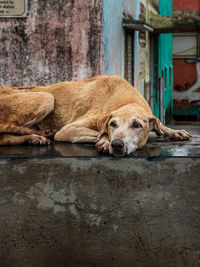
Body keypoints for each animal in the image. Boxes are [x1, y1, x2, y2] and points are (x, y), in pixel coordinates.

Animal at [0, 76, 191, 157]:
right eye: (112, 124)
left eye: (137, 125)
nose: (117, 144)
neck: (127, 99)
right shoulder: (66, 130)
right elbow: (99, 132)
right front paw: (105, 141)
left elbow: (159, 123)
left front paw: (174, 131)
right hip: (47, 97)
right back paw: (37, 135)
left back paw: (34, 137)